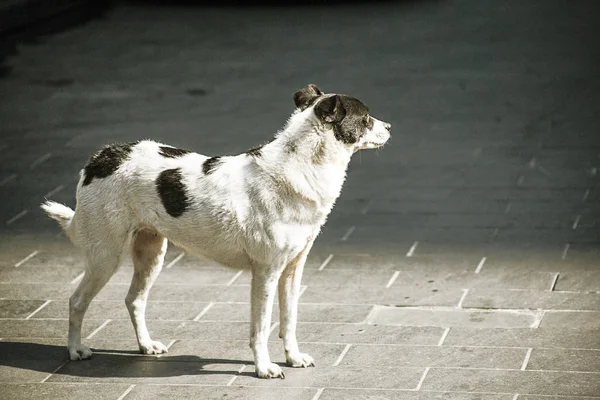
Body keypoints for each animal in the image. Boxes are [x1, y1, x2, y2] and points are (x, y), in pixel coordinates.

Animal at [39, 84, 392, 378]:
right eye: (366, 118)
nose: (390, 127)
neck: (301, 167)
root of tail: (101, 157)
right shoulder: (265, 272)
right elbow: (261, 326)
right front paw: (264, 368)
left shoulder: (292, 269)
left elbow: (289, 320)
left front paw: (293, 358)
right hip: (106, 256)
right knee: (76, 301)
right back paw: (75, 350)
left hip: (151, 253)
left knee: (134, 300)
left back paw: (146, 346)